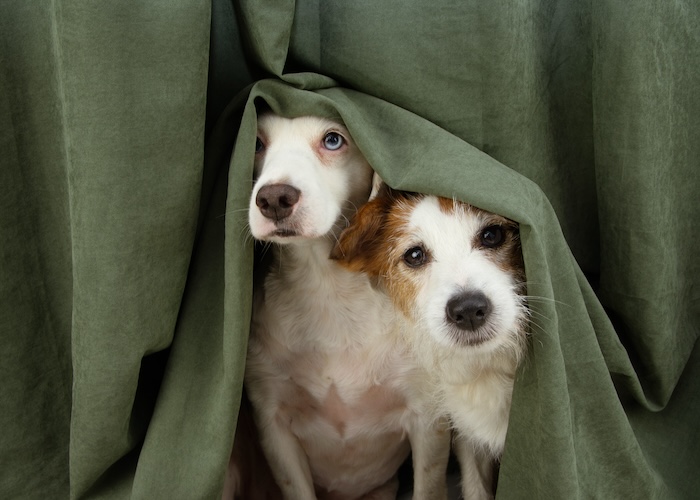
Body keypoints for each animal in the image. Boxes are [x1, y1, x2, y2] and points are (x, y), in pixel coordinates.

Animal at [241, 114, 448, 500]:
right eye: (257, 143)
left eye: (333, 140)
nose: (274, 198)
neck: (328, 290)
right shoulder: (273, 423)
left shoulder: (428, 417)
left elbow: (428, 486)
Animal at [330, 185, 528, 500]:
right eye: (414, 255)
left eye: (492, 235)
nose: (468, 310)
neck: (490, 367)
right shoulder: (470, 441)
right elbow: (476, 488)